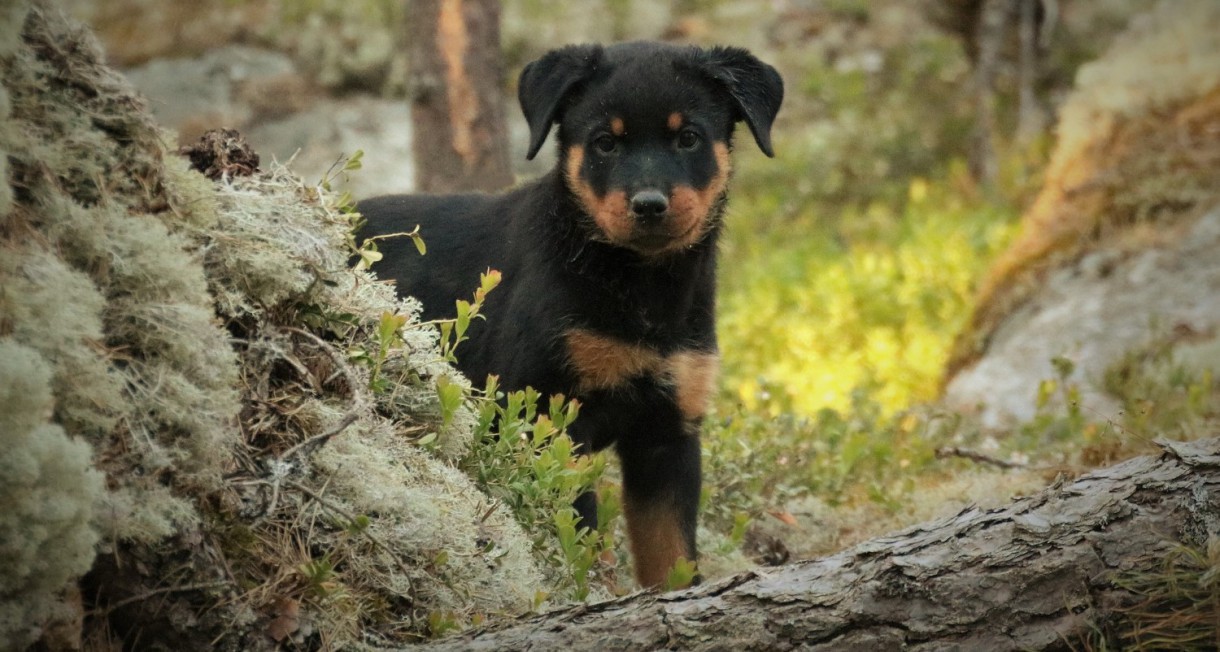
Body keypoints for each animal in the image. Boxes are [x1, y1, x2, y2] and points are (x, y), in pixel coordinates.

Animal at [356, 43, 785, 590]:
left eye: (688, 137)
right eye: (605, 143)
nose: (649, 205)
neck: (640, 288)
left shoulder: (668, 435)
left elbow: (671, 555)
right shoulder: (548, 419)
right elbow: (573, 537)